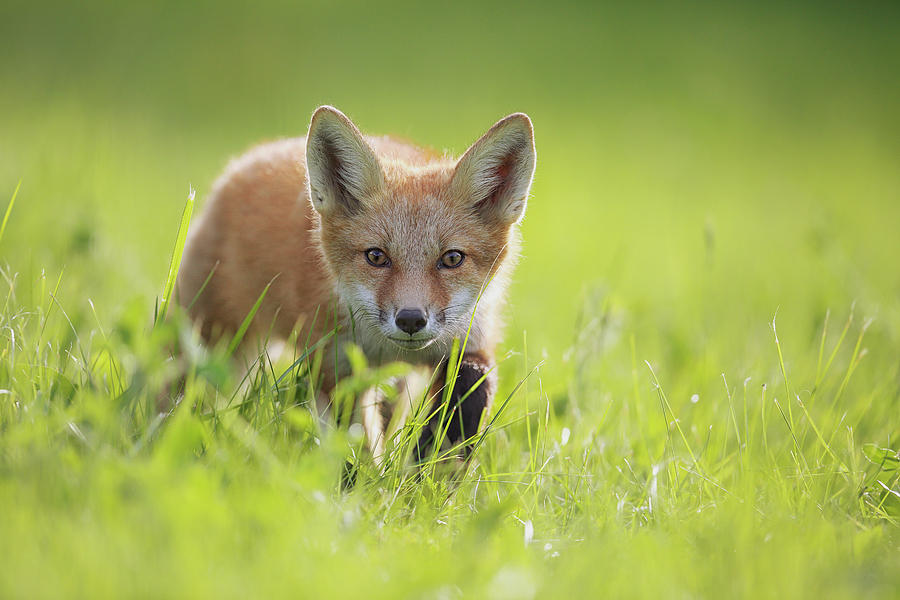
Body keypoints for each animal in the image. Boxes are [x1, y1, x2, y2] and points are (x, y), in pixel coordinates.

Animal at [179, 106, 536, 464]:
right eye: (376, 256)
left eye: (451, 259)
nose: (410, 320)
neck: (388, 347)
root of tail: (254, 154)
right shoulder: (334, 364)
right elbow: (355, 443)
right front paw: (375, 478)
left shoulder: (471, 340)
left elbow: (469, 397)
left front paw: (428, 467)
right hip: (210, 344)